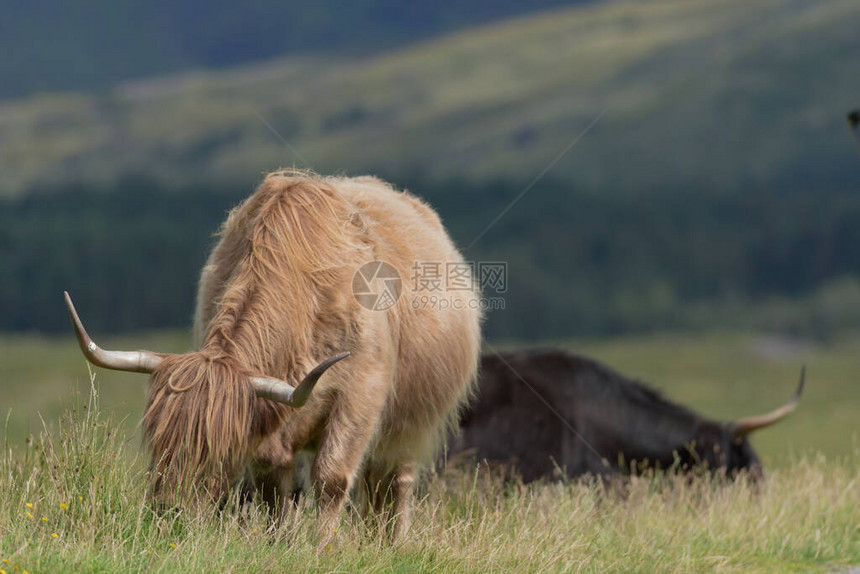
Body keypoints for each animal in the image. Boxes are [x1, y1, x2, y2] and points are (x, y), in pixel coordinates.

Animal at [65, 172, 484, 544]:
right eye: (156, 438)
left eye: (221, 450)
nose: (170, 511)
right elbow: (272, 482)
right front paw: (276, 541)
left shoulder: (359, 398)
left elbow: (332, 477)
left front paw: (323, 546)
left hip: (410, 425)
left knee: (394, 479)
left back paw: (391, 542)